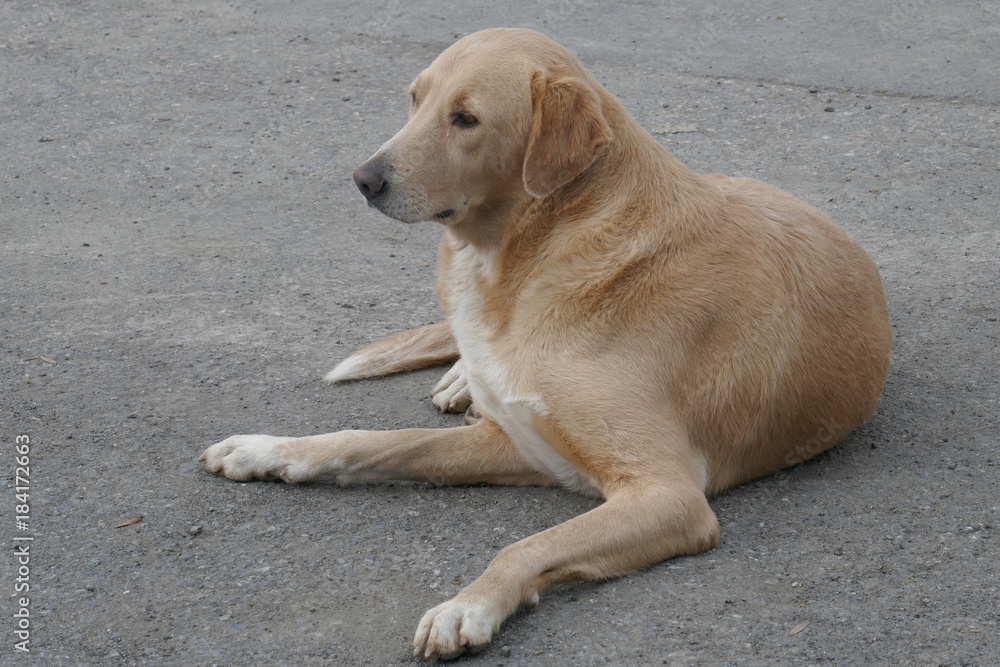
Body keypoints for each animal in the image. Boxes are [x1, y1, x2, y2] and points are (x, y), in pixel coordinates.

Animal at [199, 28, 896, 660]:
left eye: (466, 118)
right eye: (414, 100)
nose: (362, 179)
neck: (530, 259)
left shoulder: (668, 494)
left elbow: (524, 546)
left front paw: (468, 606)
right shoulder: (513, 440)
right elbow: (370, 442)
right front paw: (270, 449)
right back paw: (459, 377)